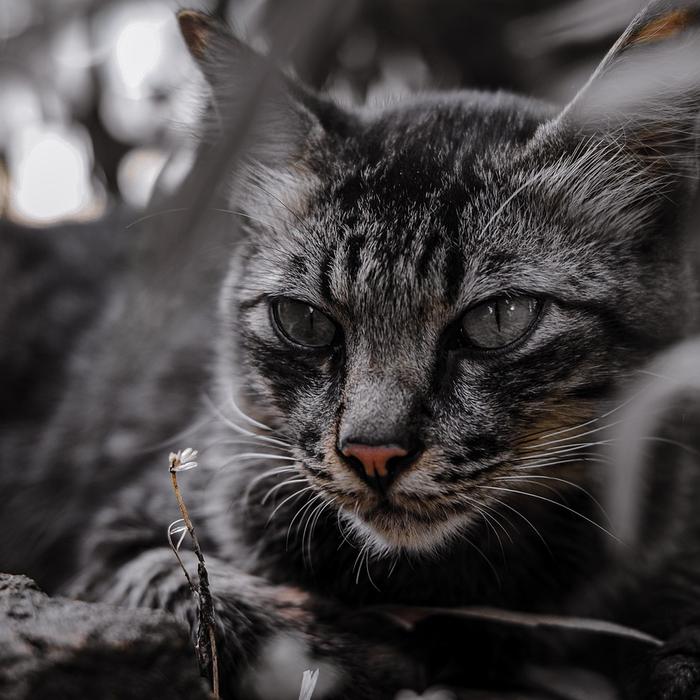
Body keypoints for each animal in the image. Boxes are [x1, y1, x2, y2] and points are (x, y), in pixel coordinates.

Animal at [4, 0, 700, 696]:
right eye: (303, 321)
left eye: (499, 319)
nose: (373, 452)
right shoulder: (112, 543)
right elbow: (192, 592)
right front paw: (357, 650)